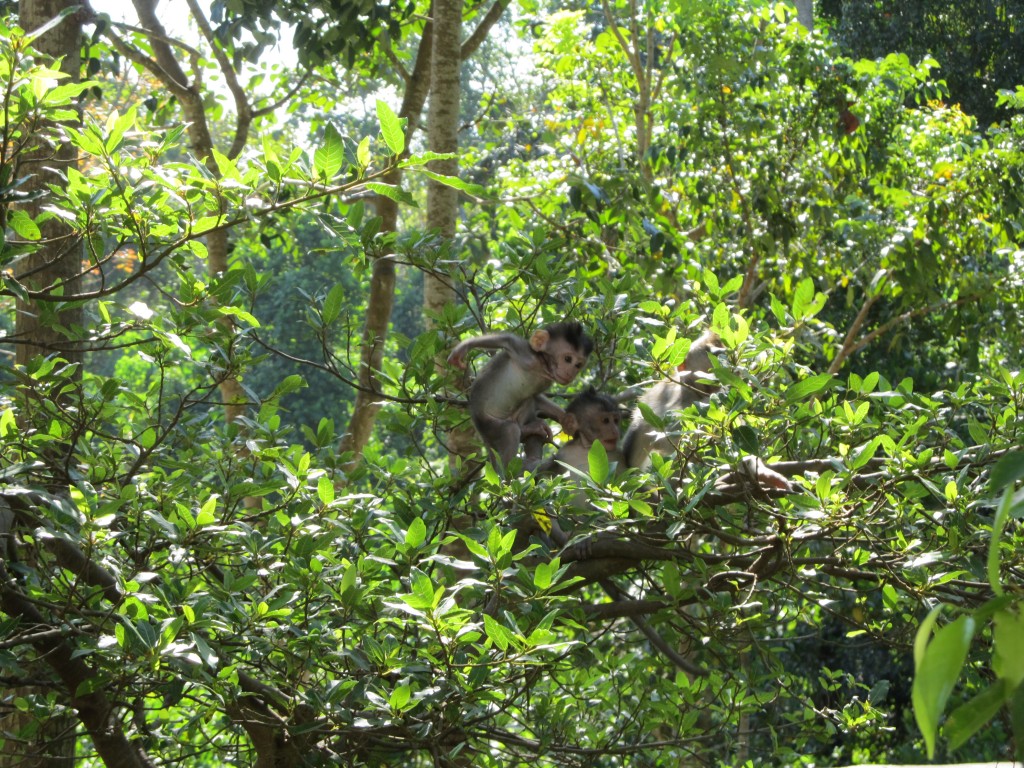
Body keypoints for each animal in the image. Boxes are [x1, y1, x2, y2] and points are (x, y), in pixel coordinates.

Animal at [447, 321, 593, 473]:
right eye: (568, 359)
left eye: (578, 365)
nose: (571, 373)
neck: (543, 368)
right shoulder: (527, 355)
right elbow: (507, 340)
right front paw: (461, 349)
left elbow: (536, 397)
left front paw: (567, 419)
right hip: (489, 425)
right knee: (510, 431)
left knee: (528, 402)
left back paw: (526, 430)